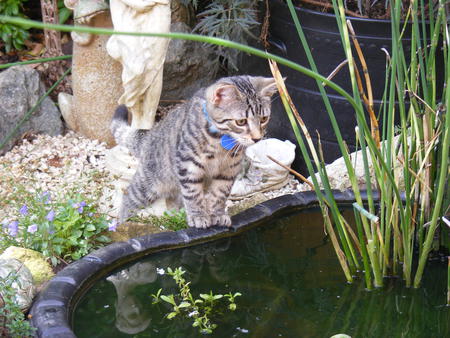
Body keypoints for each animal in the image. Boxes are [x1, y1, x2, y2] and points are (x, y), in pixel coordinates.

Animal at [110, 74, 278, 227]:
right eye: (241, 122)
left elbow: (219, 194)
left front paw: (216, 214)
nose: (257, 138)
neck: (220, 141)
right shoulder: (188, 165)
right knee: (129, 197)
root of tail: (151, 134)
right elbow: (193, 193)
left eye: (264, 119)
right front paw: (198, 216)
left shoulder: (228, 171)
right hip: (150, 182)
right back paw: (122, 222)